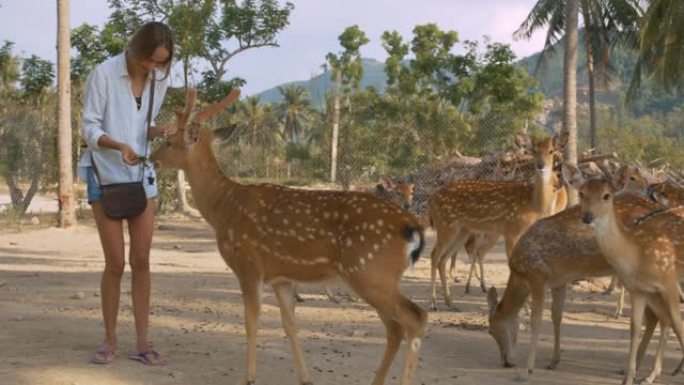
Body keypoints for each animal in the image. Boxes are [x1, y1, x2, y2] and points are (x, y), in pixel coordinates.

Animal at [150, 88, 428, 384]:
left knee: (414, 317)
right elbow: (290, 325)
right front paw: (305, 377)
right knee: (395, 327)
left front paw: (249, 377)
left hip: (369, 271)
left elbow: (251, 321)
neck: (223, 208)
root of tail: (412, 226)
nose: (151, 157)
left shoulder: (249, 264)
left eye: (168, 141)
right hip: (376, 276)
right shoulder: (280, 276)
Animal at [428, 132, 568, 308]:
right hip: (445, 225)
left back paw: (450, 303)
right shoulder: (511, 229)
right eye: (534, 151)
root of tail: (432, 200)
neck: (533, 203)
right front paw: (523, 307)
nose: (541, 166)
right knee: (434, 255)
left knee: (444, 259)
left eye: (551, 151)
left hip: (462, 230)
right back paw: (433, 303)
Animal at [564, 162, 684, 384]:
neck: (636, 253)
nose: (587, 217)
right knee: (661, 319)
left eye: (606, 195)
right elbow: (635, 327)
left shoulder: (669, 281)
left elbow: (678, 323)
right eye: (582, 193)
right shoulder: (639, 290)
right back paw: (651, 374)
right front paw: (629, 377)